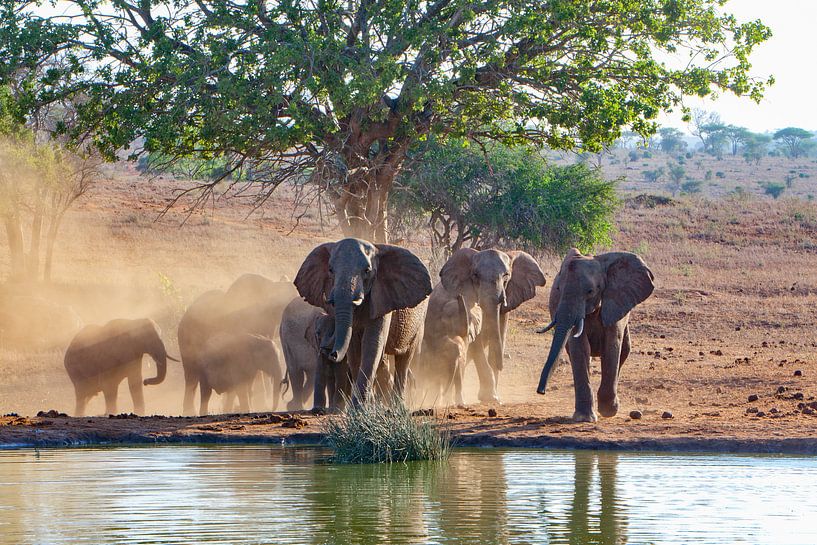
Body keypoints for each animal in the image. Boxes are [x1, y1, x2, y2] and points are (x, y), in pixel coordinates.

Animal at [294, 238, 432, 404]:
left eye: (367, 271)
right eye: (330, 270)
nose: (332, 354)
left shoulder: (382, 297)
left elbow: (372, 343)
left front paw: (359, 407)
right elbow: (354, 350)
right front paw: (366, 405)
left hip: (419, 323)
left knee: (404, 360)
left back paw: (396, 405)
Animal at [436, 248, 546, 403]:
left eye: (506, 275)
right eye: (475, 275)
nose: (502, 365)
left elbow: (500, 334)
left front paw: (495, 397)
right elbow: (476, 344)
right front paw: (490, 397)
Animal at [536, 249, 655, 422]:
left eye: (590, 291)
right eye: (558, 289)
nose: (541, 391)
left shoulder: (615, 302)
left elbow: (612, 346)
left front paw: (608, 411)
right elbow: (580, 347)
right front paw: (584, 418)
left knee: (624, 350)